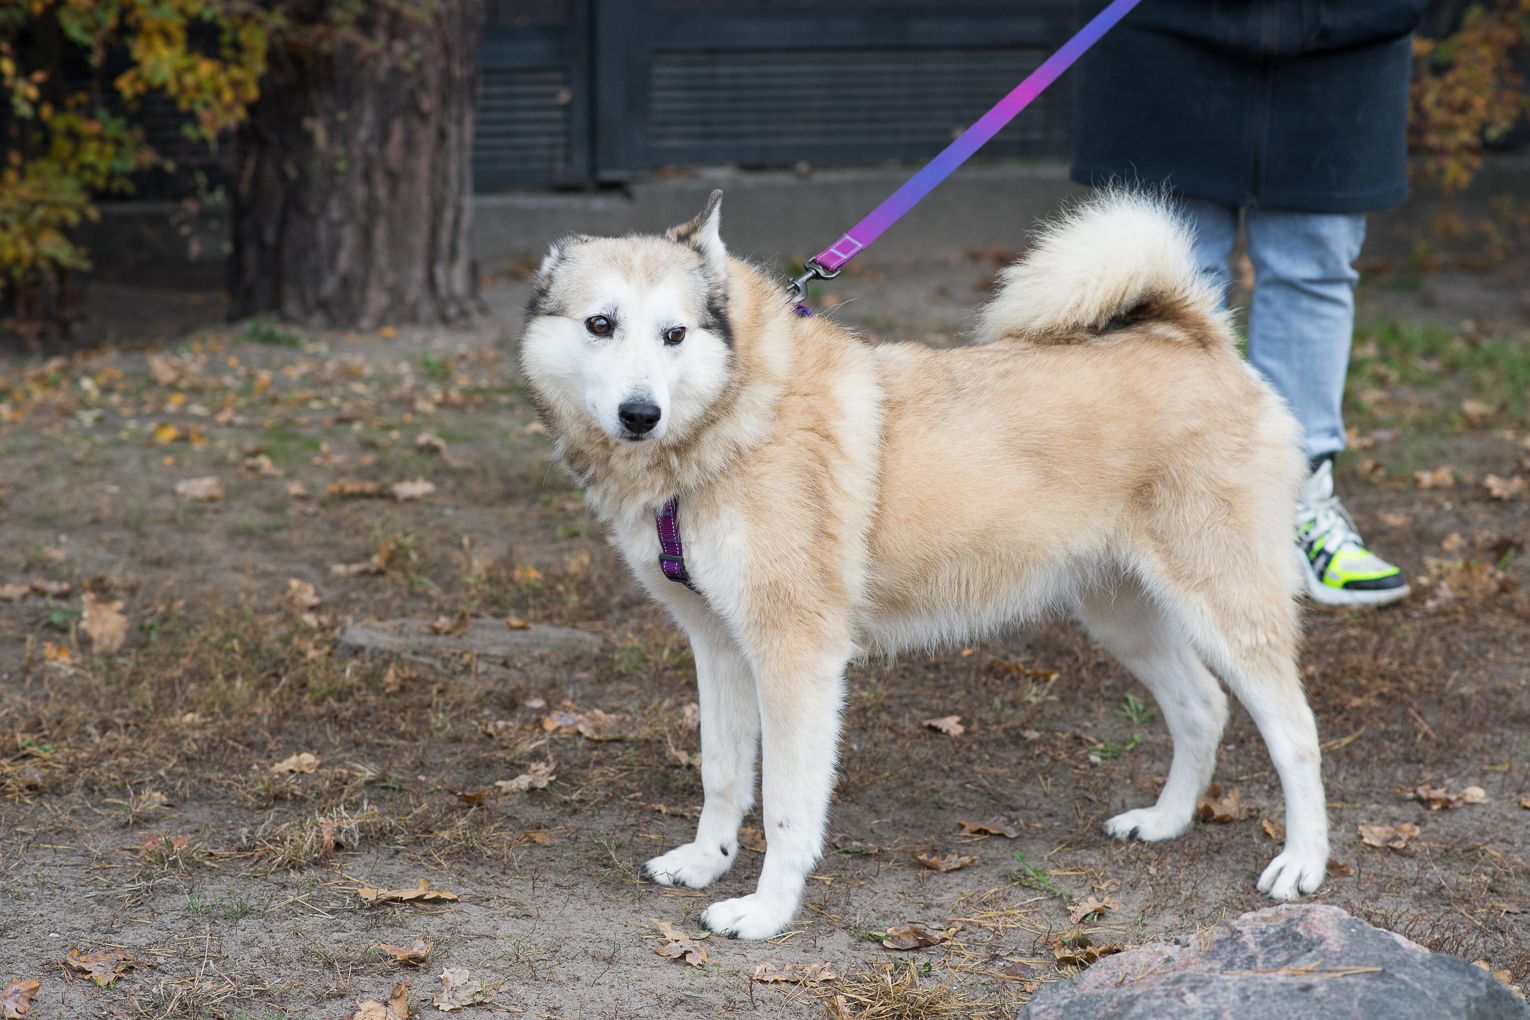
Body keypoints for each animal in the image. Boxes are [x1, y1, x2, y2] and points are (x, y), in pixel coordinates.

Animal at [517, 189, 1328, 942]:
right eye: (600, 324)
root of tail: (1195, 336)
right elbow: (721, 772)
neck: (737, 416)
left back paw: (1303, 864)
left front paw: (767, 911)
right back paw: (1164, 821)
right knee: (1202, 707)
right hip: (1122, 615)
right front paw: (704, 861)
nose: (640, 414)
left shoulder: (797, 658)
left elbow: (785, 807)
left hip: (1228, 611)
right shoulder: (717, 647)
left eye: (675, 333)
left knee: (1295, 733)